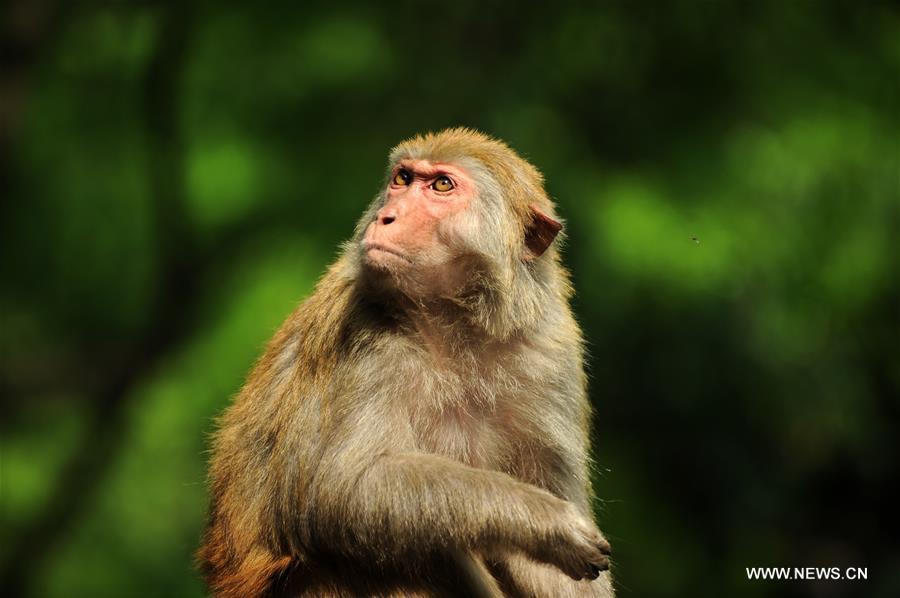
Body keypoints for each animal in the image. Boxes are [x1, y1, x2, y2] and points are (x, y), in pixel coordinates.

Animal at [200, 129, 616, 596]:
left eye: (441, 186)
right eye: (402, 178)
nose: (387, 216)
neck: (462, 324)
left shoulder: (551, 350)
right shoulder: (373, 334)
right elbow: (343, 490)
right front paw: (544, 519)